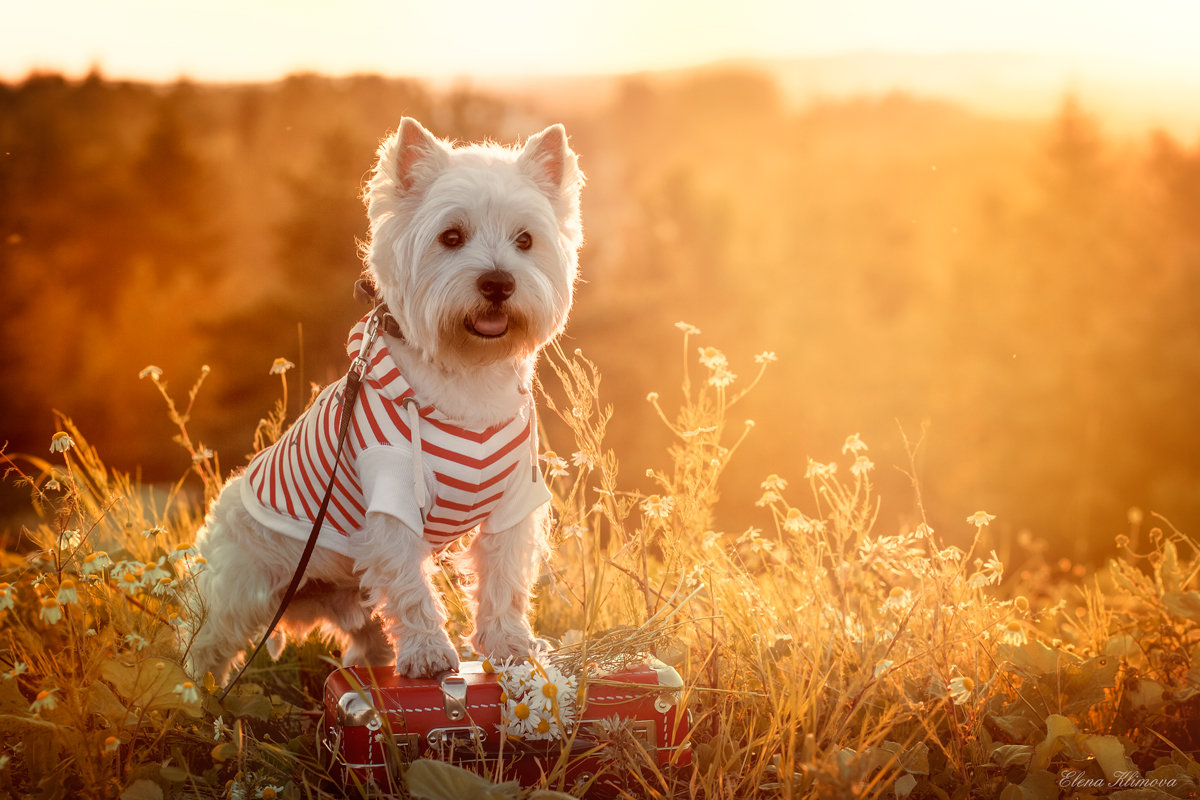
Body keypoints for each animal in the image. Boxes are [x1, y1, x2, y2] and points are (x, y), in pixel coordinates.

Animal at [184, 120, 583, 681]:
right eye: (451, 237)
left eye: (525, 240)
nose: (498, 283)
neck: (468, 376)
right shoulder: (391, 492)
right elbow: (412, 587)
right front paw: (429, 653)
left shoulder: (513, 502)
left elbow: (503, 580)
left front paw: (509, 645)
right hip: (242, 586)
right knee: (206, 642)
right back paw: (192, 692)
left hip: (350, 598)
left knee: (367, 633)